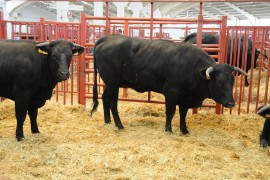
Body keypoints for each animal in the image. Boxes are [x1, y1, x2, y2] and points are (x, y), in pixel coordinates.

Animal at [90, 34, 247, 134]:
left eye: (232, 82)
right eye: (219, 83)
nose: (231, 103)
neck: (193, 67)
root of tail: (108, 38)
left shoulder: (185, 97)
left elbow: (183, 114)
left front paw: (184, 130)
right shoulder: (171, 92)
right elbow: (170, 112)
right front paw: (169, 130)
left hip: (109, 84)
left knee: (105, 99)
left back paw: (108, 122)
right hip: (113, 83)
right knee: (113, 103)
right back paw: (119, 125)